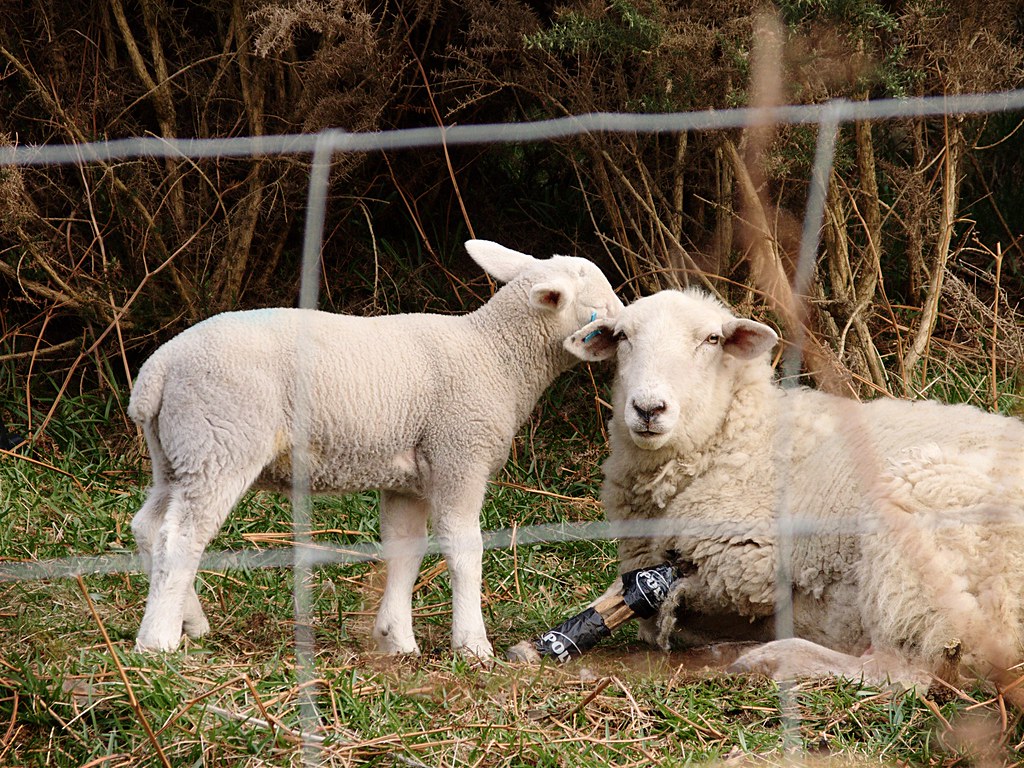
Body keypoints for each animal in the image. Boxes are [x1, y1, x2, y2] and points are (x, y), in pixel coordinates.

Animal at [127, 240, 623, 657]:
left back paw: (189, 621)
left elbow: (405, 549)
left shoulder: (410, 477)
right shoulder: (458, 455)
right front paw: (472, 645)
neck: (496, 356)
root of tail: (158, 369)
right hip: (221, 441)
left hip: (177, 453)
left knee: (150, 526)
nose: (624, 332)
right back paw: (159, 640)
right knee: (182, 537)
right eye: (597, 309)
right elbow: (464, 549)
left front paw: (397, 640)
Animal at [564, 288, 1024, 688]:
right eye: (622, 337)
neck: (741, 435)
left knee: (907, 671)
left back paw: (772, 658)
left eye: (712, 339)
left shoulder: (749, 566)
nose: (648, 408)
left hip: (917, 533)